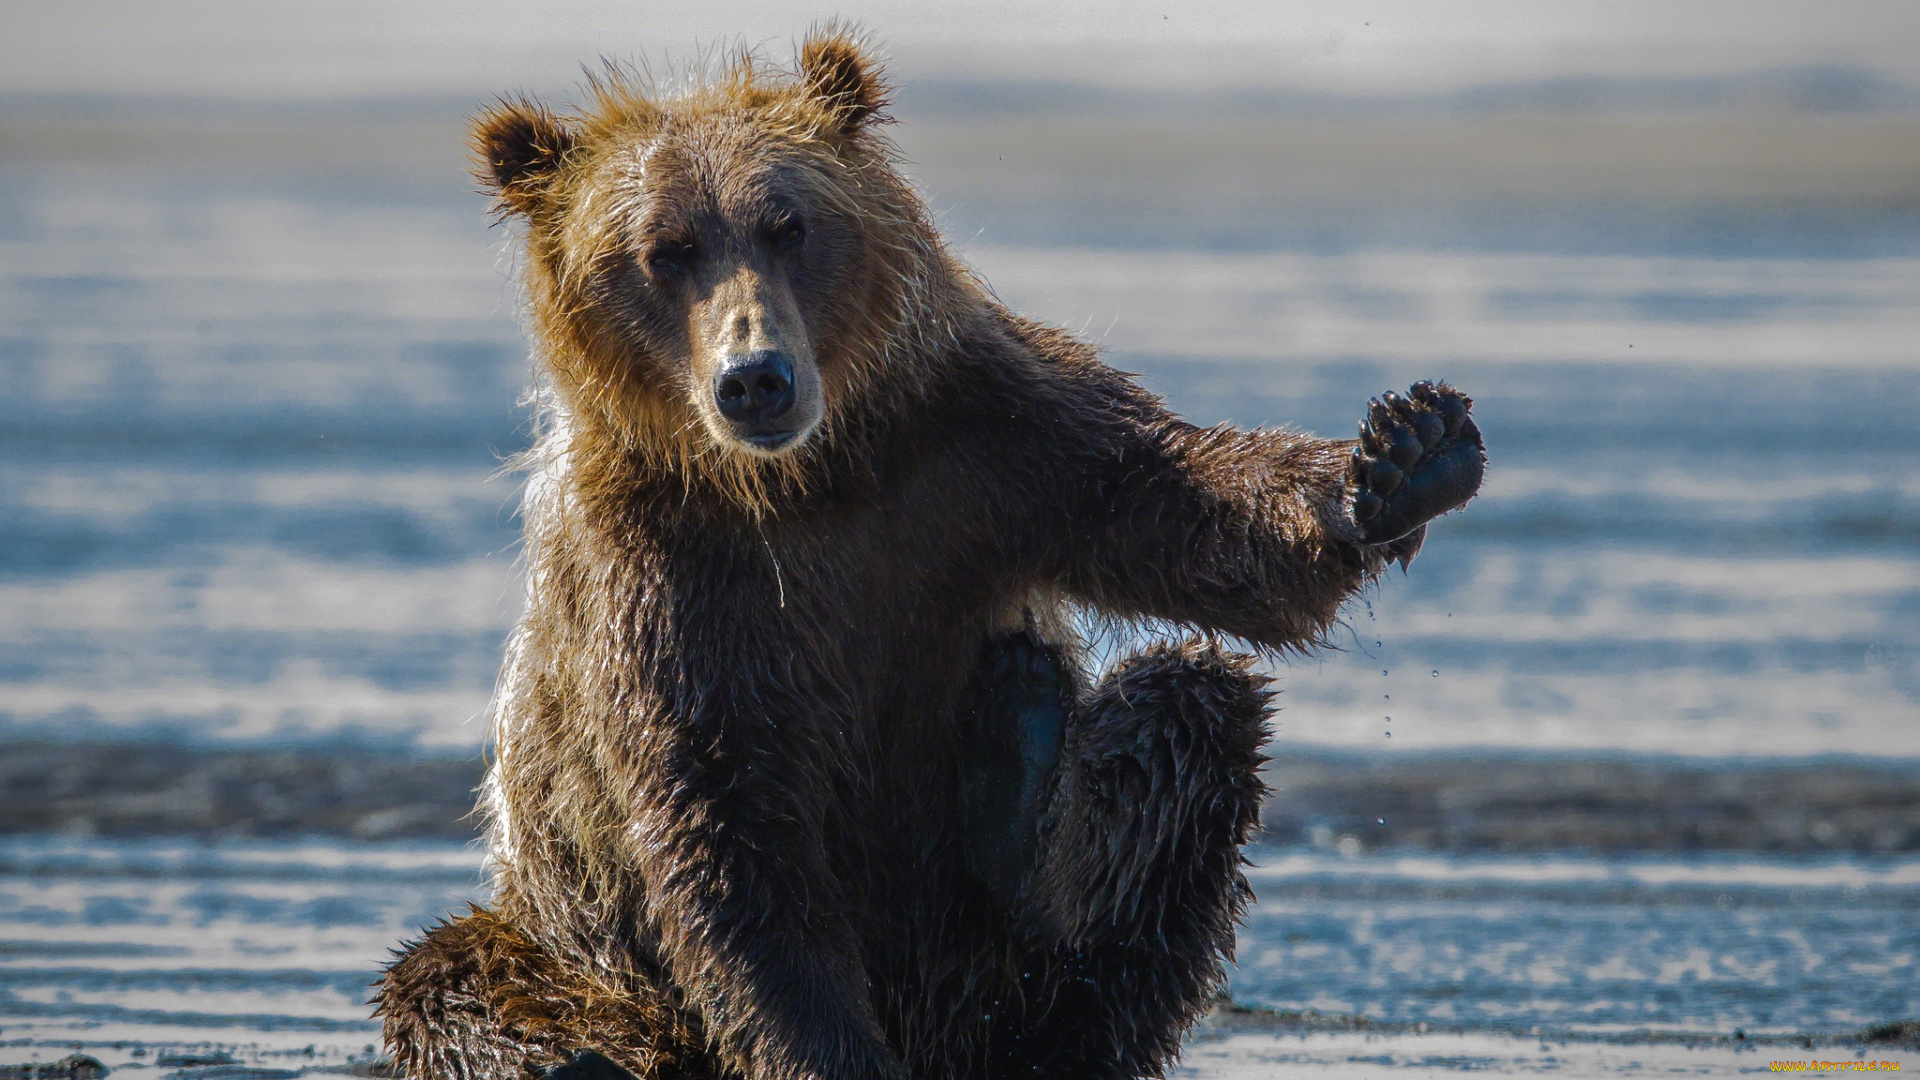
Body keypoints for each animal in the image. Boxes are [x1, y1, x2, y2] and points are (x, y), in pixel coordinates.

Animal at [374, 23, 1482, 1076]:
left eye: (789, 225)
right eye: (664, 248)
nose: (755, 376)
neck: (810, 481)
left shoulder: (991, 445)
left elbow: (1194, 518)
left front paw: (1402, 459)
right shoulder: (658, 576)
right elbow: (726, 832)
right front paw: (826, 1052)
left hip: (1005, 962)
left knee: (1188, 721)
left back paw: (1023, 780)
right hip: (564, 934)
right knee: (456, 982)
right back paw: (578, 1058)